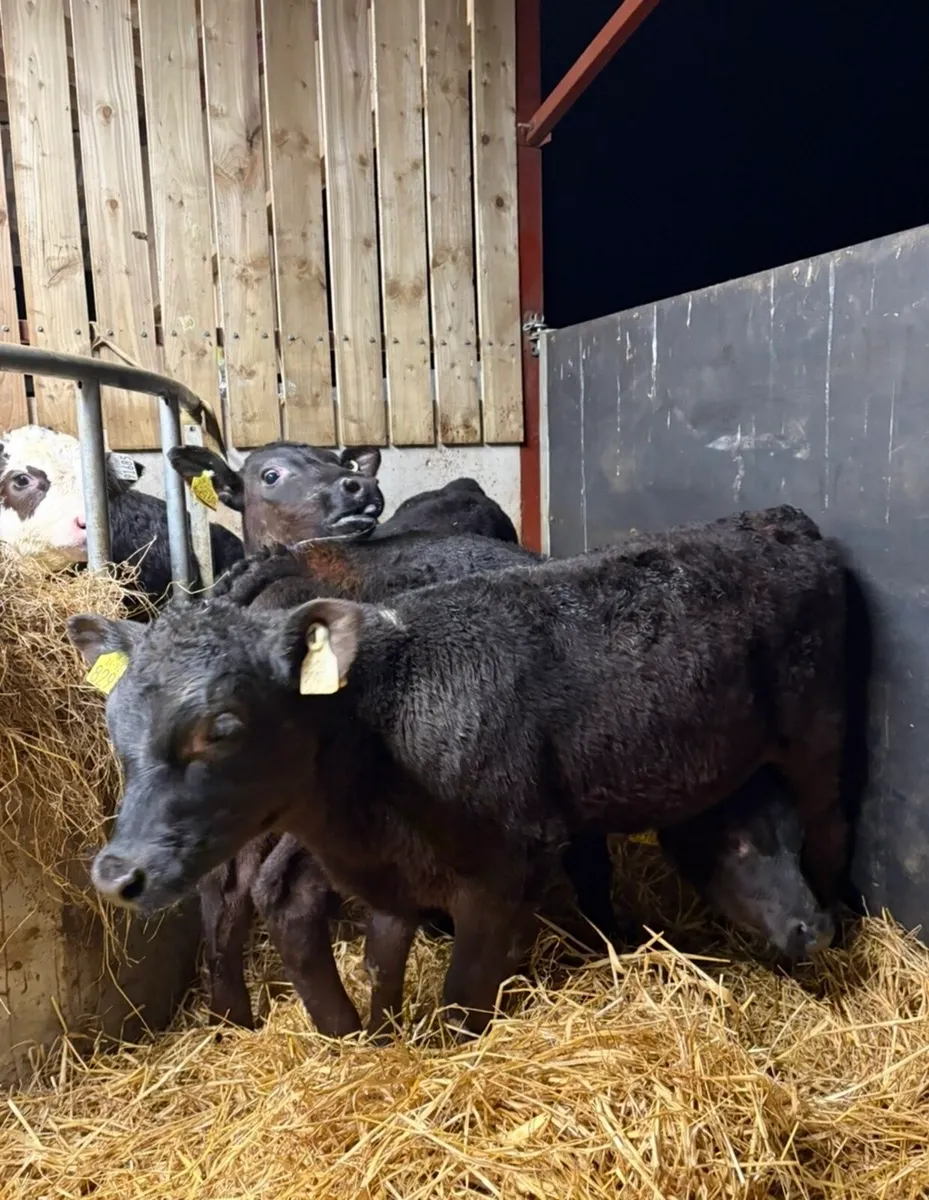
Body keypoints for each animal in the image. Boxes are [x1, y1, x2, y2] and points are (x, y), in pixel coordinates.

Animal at [71, 505, 850, 1039]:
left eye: (223, 727)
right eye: (113, 726)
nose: (117, 873)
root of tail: (779, 520)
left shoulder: (502, 858)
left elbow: (437, 974)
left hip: (816, 740)